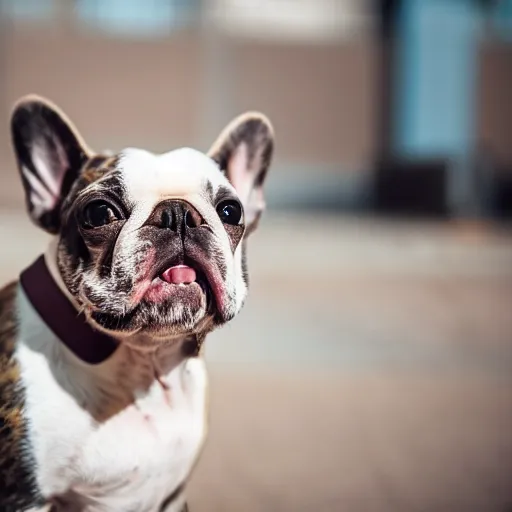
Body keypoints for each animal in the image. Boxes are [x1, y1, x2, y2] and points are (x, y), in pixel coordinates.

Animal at [0, 97, 274, 512]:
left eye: (231, 210)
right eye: (98, 212)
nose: (177, 213)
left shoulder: (173, 497)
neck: (144, 363)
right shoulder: (23, 498)